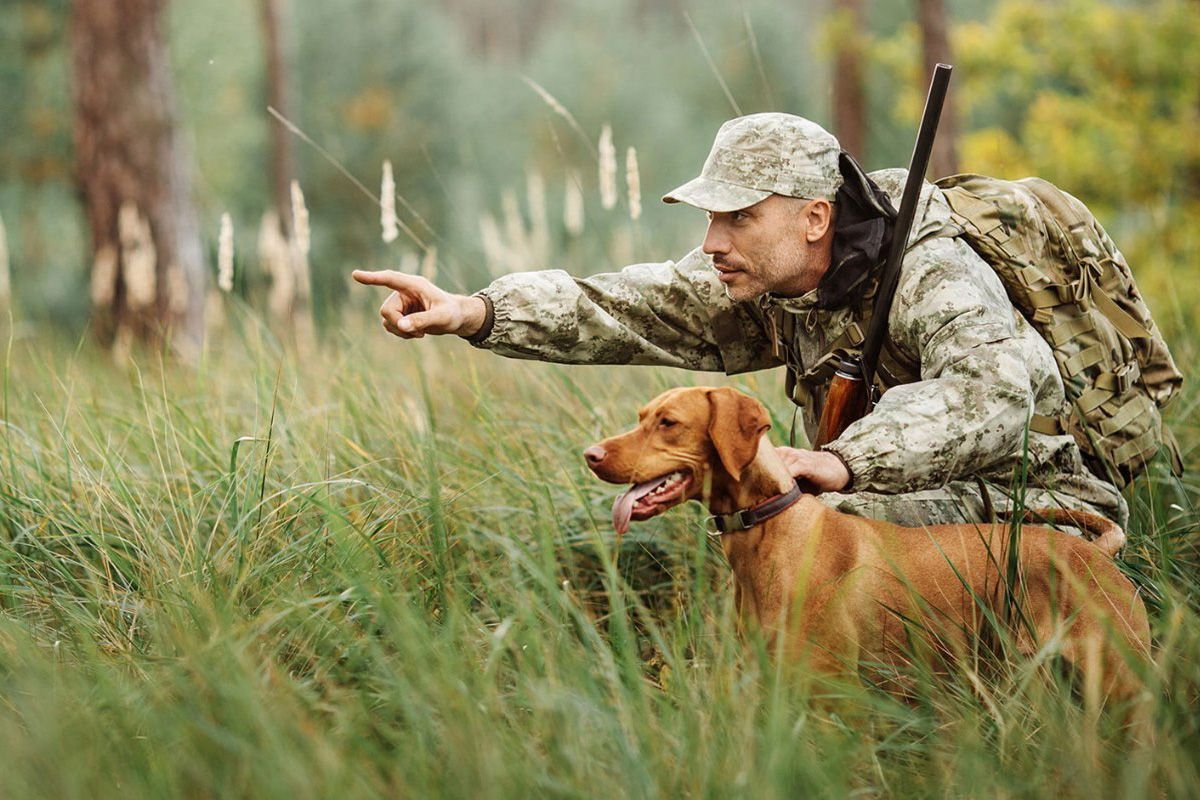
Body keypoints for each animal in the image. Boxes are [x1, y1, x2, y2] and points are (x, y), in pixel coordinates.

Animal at [585, 388, 1147, 705]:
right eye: (642, 416)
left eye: (668, 422)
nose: (590, 454)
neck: (770, 528)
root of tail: (1098, 553)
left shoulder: (833, 694)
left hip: (1121, 682)